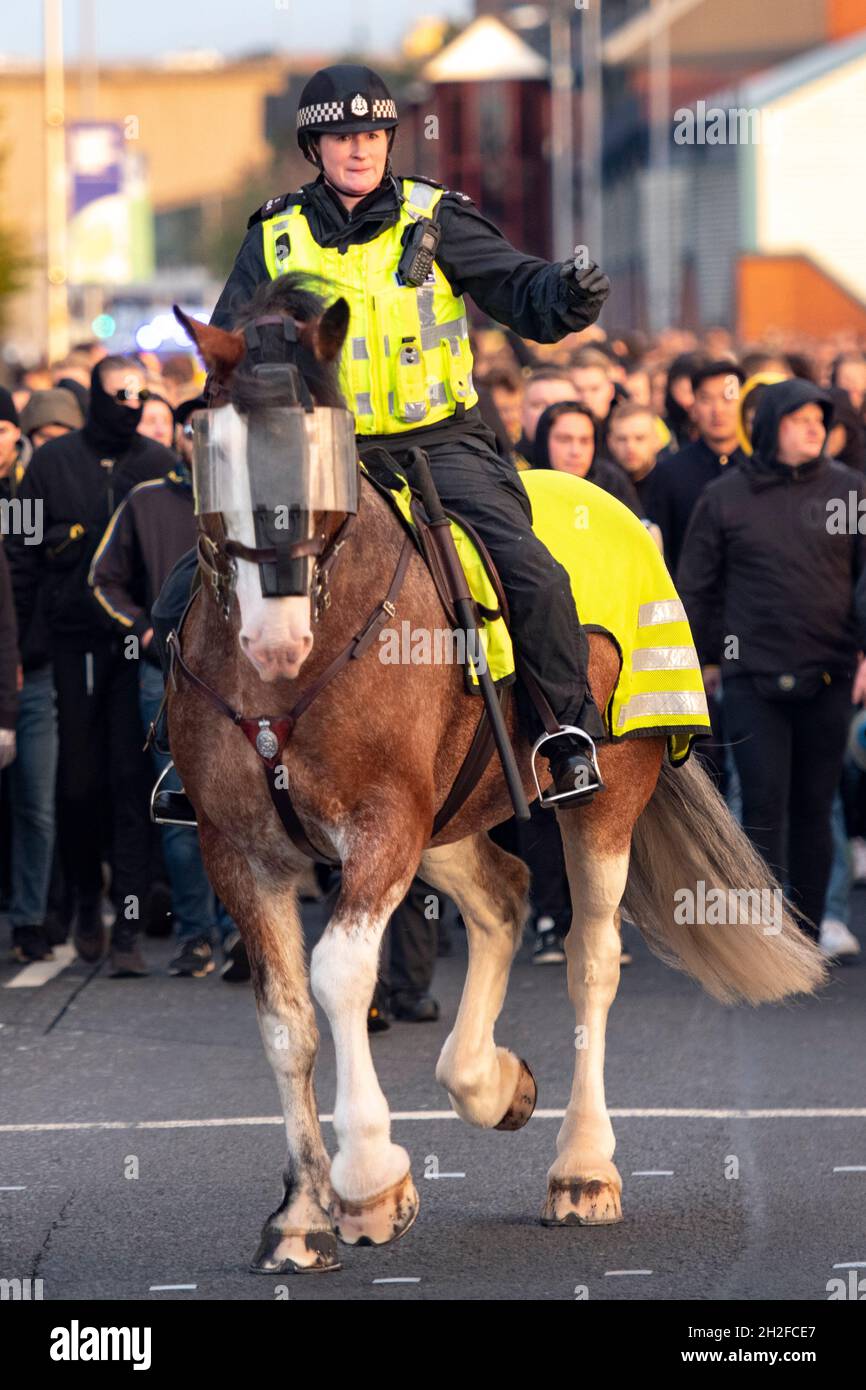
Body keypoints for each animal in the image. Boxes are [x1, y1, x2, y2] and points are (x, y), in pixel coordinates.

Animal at [167, 279, 828, 1273]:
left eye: (324, 451)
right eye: (214, 453)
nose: (274, 636)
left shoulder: (383, 824)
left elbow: (338, 977)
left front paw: (371, 1181)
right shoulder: (240, 852)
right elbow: (287, 1021)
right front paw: (300, 1216)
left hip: (598, 801)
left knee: (592, 959)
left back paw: (582, 1170)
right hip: (449, 817)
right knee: (506, 894)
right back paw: (490, 1082)